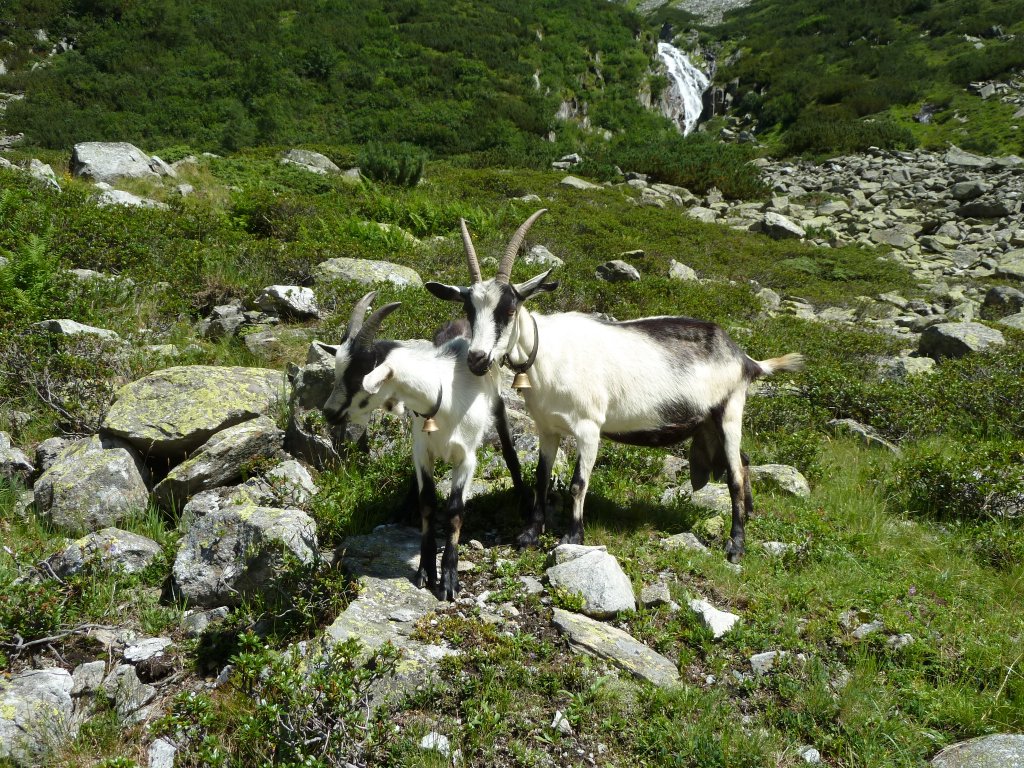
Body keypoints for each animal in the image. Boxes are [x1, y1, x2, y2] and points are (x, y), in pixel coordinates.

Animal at [319, 290, 528, 598]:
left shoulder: (466, 459)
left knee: (508, 443)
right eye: (337, 372)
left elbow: (454, 512)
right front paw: (425, 571)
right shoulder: (422, 452)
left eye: (359, 376)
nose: (329, 412)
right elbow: (427, 502)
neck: (441, 396)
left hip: (497, 401)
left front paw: (449, 580)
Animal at [423, 210, 798, 565]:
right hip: (709, 422)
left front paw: (572, 536)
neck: (547, 355)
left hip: (730, 410)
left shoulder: (589, 427)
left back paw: (736, 547)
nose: (477, 359)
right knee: (744, 462)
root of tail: (745, 359)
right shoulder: (547, 428)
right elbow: (542, 477)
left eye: (510, 307)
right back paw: (749, 516)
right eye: (468, 308)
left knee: (735, 474)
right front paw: (529, 534)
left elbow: (578, 482)